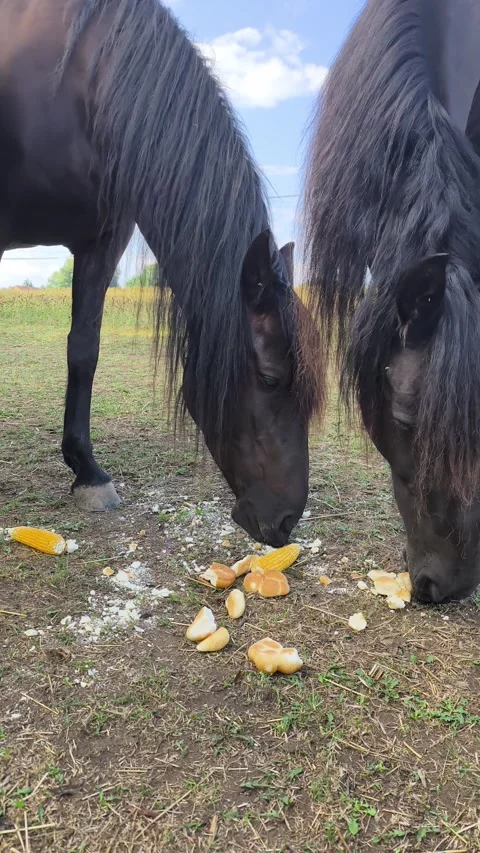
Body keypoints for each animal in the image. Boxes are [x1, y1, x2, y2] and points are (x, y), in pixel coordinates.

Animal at [0, 0, 324, 548]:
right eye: (270, 378)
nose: (284, 523)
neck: (78, 90)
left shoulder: (103, 237)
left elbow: (84, 350)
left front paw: (88, 473)